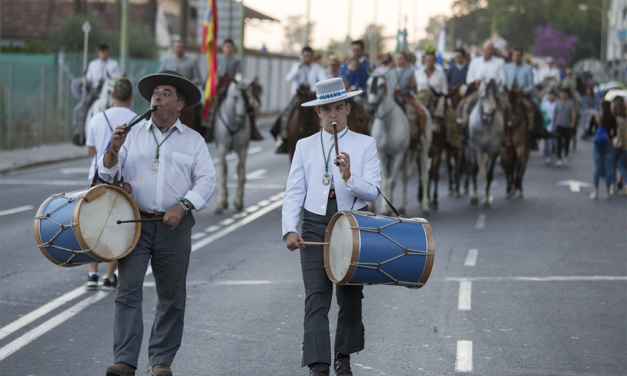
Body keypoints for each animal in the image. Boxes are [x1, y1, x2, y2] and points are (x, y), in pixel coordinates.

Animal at [212, 75, 258, 214]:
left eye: (247, 97)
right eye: (235, 97)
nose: (241, 120)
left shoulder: (242, 150)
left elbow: (241, 175)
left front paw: (238, 202)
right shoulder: (221, 149)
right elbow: (222, 175)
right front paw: (220, 204)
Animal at [366, 73, 434, 216]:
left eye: (381, 85)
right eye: (368, 83)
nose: (370, 108)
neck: (387, 125)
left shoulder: (399, 155)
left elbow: (392, 182)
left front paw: (389, 208)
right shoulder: (382, 155)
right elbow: (385, 181)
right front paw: (385, 208)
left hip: (423, 152)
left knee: (424, 177)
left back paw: (425, 206)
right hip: (407, 155)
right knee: (405, 178)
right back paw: (402, 206)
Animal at [466, 79, 506, 207]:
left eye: (496, 96)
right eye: (483, 97)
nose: (488, 116)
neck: (486, 126)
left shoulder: (494, 151)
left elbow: (489, 174)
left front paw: (486, 197)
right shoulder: (474, 147)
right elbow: (474, 169)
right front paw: (474, 196)